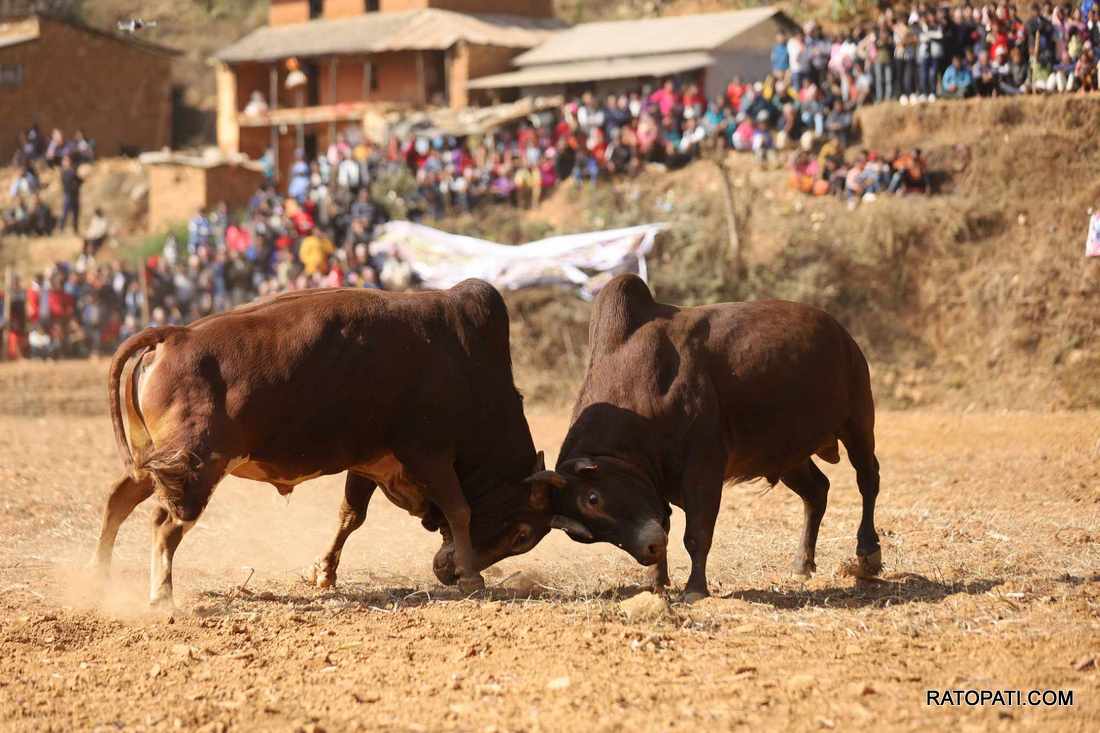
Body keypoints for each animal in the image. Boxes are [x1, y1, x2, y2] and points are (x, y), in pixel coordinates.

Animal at [91, 279, 558, 603]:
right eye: (521, 534)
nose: (445, 571)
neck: (468, 366)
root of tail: (175, 335)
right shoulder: (430, 454)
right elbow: (460, 510)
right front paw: (471, 576)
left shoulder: (372, 462)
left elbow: (350, 516)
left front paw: (324, 573)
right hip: (196, 467)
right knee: (165, 523)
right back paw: (161, 596)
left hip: (155, 460)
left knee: (118, 501)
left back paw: (100, 577)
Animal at [525, 274, 884, 598]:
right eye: (584, 536)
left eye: (593, 499)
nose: (648, 549)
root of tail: (841, 333)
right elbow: (667, 525)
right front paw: (657, 582)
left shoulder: (704, 469)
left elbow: (696, 534)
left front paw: (695, 588)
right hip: (786, 456)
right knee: (817, 491)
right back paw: (802, 564)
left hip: (857, 422)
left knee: (868, 479)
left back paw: (868, 553)